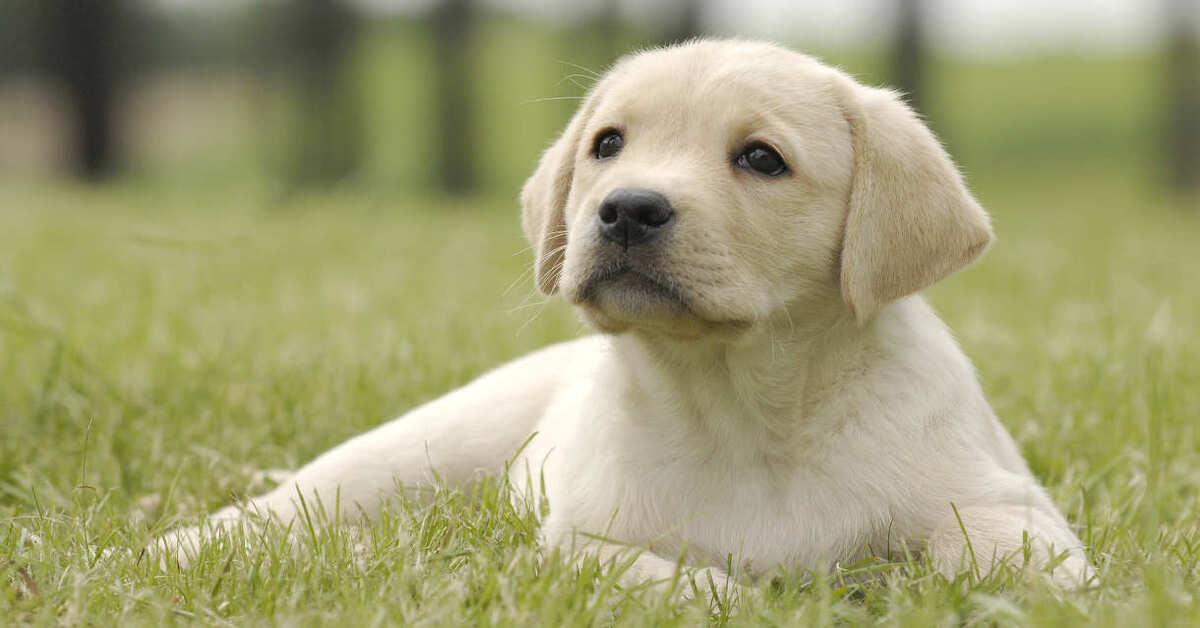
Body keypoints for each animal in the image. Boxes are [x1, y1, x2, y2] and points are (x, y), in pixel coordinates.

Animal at [152, 40, 1099, 595]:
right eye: (608, 144)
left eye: (762, 159)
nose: (627, 210)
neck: (745, 409)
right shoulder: (580, 539)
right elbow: (673, 580)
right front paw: (746, 597)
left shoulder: (1020, 512)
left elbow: (1002, 555)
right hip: (412, 452)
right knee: (291, 509)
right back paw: (169, 549)